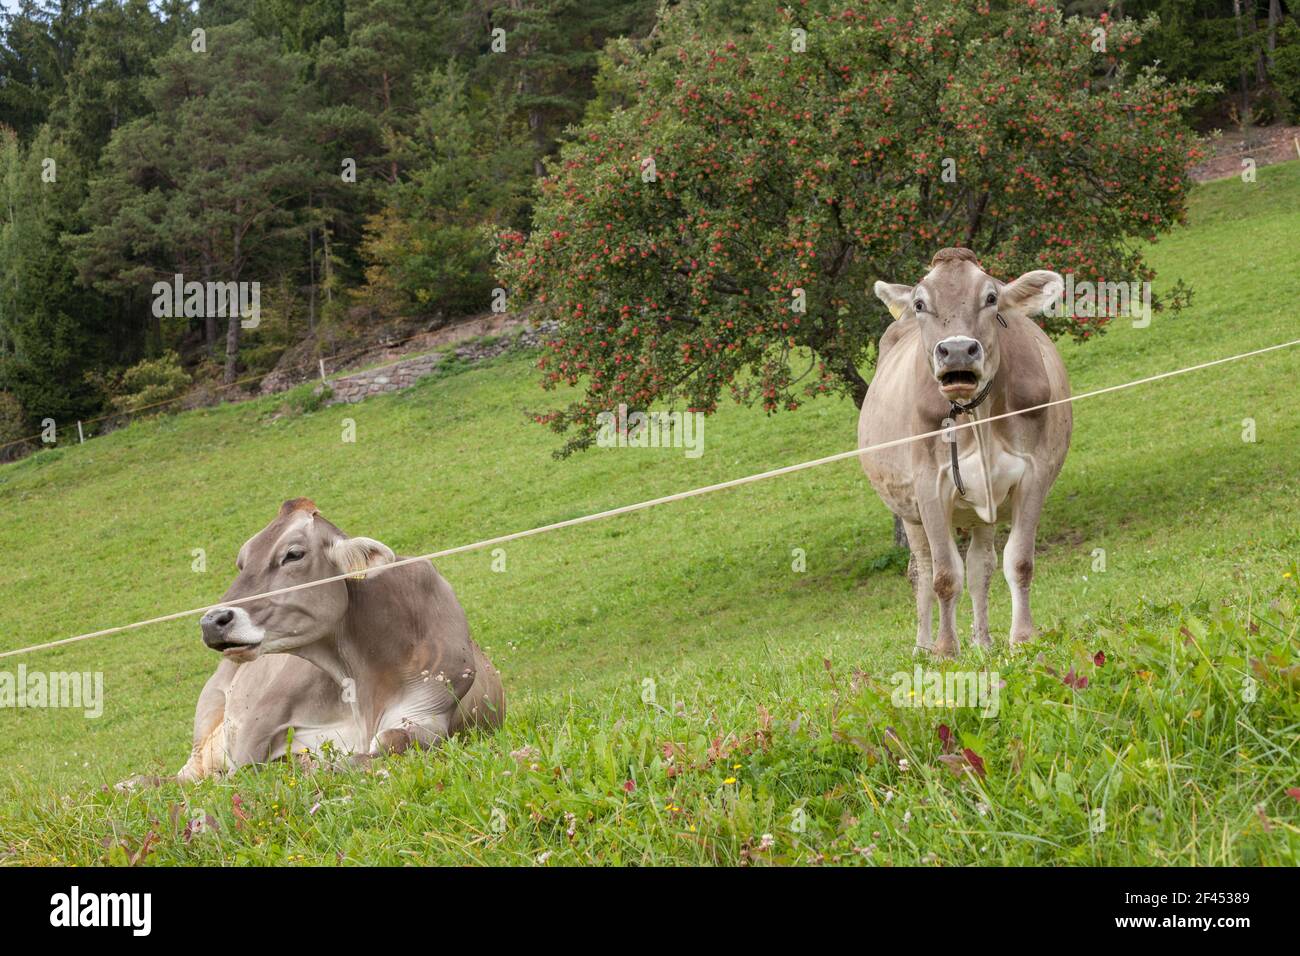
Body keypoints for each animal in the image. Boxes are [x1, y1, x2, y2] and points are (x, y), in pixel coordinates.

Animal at [174, 498, 504, 781]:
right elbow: (242, 768)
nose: (212, 621)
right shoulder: (261, 716)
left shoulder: (429, 711)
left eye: (294, 554)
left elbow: (390, 740)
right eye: (243, 562)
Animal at [860, 247, 1072, 658]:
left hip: (981, 512)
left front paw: (1023, 637)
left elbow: (1019, 562)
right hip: (908, 513)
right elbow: (944, 575)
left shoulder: (1034, 474)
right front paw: (945, 649)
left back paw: (983, 640)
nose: (957, 350)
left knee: (980, 566)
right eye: (920, 303)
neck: (979, 418)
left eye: (991, 298)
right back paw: (923, 646)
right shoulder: (929, 485)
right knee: (921, 569)